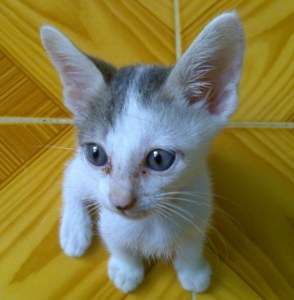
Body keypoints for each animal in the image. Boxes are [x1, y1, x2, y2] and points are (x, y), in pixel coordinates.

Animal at [40, 12, 245, 294]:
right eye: (96, 155)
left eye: (159, 159)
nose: (120, 201)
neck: (152, 223)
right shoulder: (109, 219)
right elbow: (118, 245)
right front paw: (127, 270)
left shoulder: (199, 212)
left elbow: (190, 248)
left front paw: (193, 272)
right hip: (88, 181)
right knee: (71, 176)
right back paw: (74, 229)